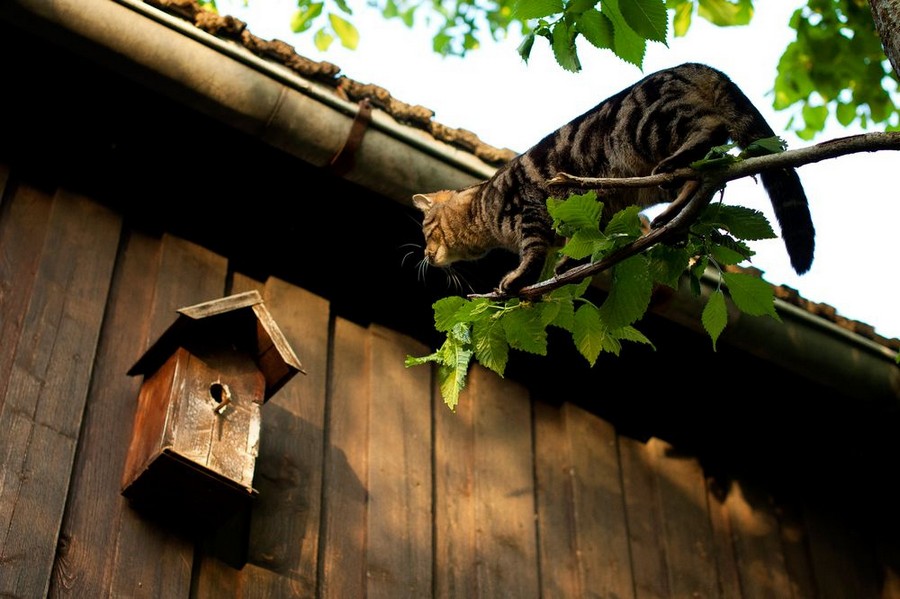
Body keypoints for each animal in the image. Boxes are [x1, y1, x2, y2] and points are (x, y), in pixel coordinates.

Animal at [414, 61, 816, 296]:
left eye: (427, 232)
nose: (426, 255)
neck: (484, 209)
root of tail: (696, 65)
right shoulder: (594, 214)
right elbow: (587, 244)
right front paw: (568, 265)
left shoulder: (529, 210)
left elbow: (532, 255)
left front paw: (516, 280)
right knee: (701, 176)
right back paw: (672, 217)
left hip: (653, 125)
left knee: (711, 130)